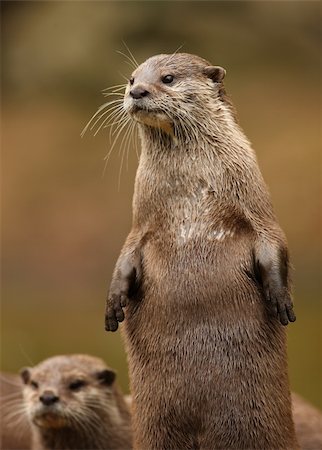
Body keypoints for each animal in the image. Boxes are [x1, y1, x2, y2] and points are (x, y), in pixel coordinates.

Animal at [104, 53, 298, 450]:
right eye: (131, 78)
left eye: (168, 78)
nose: (137, 91)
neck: (191, 203)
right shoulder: (140, 228)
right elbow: (124, 258)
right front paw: (114, 303)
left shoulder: (258, 211)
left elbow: (274, 244)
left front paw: (279, 298)